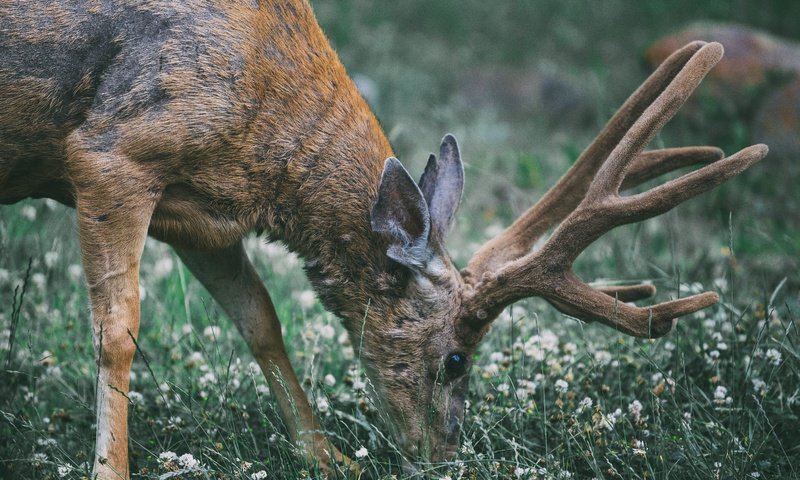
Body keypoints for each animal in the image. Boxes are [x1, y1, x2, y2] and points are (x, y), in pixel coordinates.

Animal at [0, 1, 768, 478]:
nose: (444, 456)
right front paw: (110, 470)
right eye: (456, 359)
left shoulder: (199, 214)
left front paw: (325, 457)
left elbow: (260, 319)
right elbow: (118, 331)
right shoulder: (112, 153)